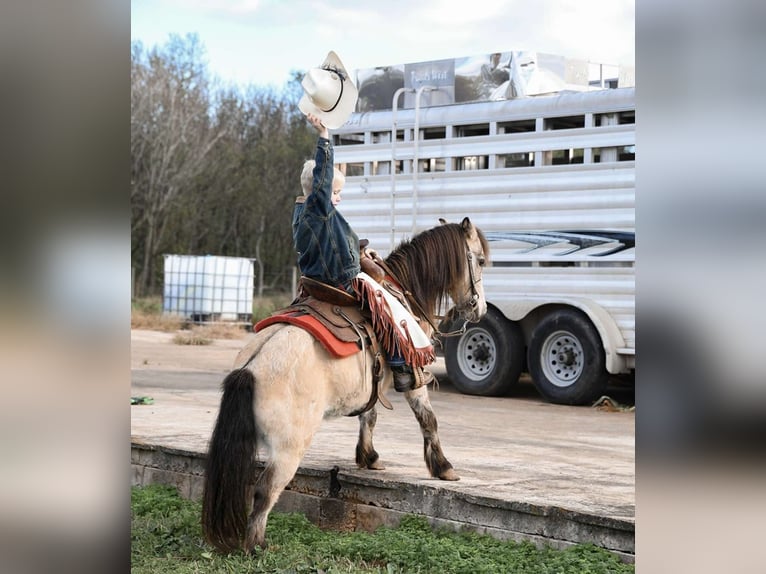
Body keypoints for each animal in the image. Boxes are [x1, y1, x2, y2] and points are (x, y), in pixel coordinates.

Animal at [202, 217, 490, 553]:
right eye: (479, 260)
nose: (480, 310)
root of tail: (250, 369)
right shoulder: (415, 374)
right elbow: (428, 420)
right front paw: (443, 467)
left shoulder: (371, 387)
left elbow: (370, 416)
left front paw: (368, 457)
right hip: (288, 449)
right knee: (264, 492)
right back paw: (257, 546)